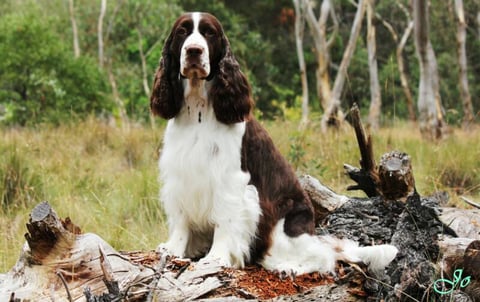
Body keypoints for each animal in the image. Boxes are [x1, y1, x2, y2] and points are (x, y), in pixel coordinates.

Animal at [150, 11, 398, 274]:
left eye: (209, 33)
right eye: (182, 32)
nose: (194, 51)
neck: (199, 108)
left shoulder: (230, 180)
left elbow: (225, 219)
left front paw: (217, 257)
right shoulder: (180, 174)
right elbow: (181, 219)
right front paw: (173, 249)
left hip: (285, 224)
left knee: (322, 256)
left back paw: (290, 267)